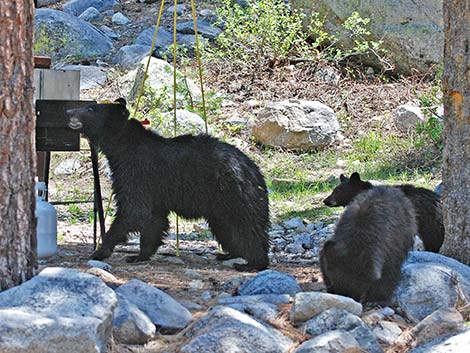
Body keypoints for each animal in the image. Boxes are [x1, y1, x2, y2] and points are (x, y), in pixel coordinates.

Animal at [66, 97, 272, 270]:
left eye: (90, 108)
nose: (68, 111)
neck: (121, 146)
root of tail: (254, 170)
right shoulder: (153, 191)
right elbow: (154, 220)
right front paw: (139, 255)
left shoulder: (136, 172)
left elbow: (133, 210)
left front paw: (100, 251)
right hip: (221, 205)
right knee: (227, 228)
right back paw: (229, 254)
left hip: (233, 193)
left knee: (246, 226)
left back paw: (253, 263)